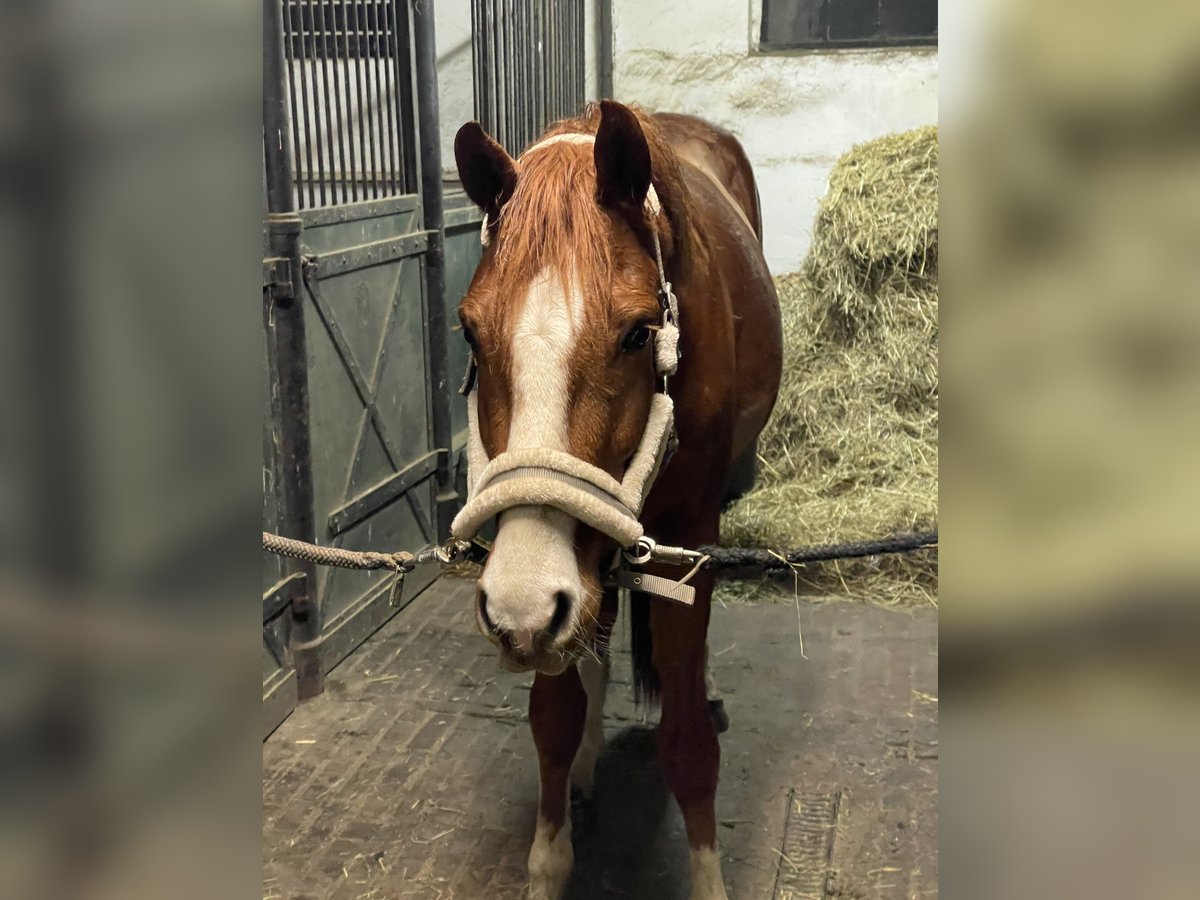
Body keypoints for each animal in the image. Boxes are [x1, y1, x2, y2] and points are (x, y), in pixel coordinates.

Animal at [453, 102, 782, 897]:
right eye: (470, 332)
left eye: (638, 333)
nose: (517, 605)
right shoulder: (571, 572)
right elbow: (554, 716)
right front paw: (549, 860)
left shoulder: (687, 540)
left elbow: (687, 740)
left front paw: (708, 880)